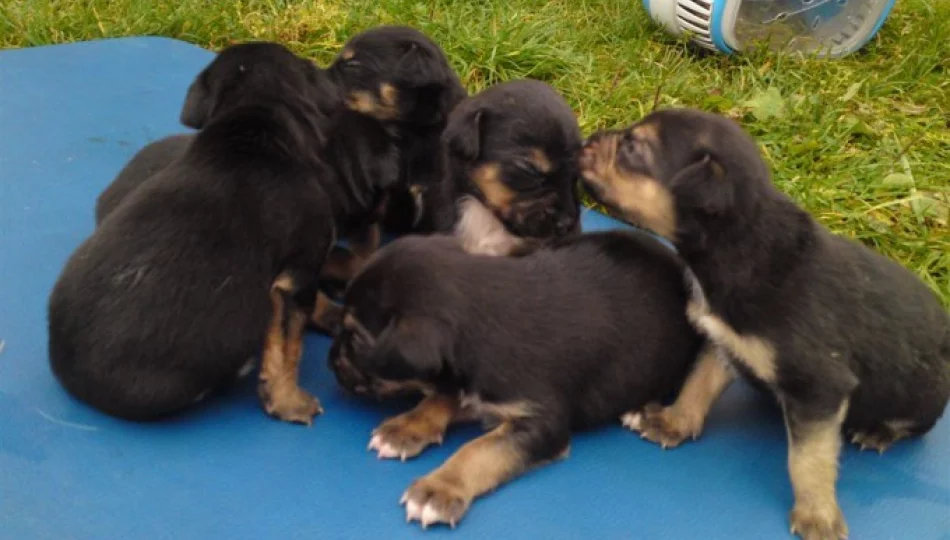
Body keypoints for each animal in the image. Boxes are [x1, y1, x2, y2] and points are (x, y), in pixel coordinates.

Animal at [330, 233, 708, 528]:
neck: (483, 311)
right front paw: (405, 428)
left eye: (356, 338)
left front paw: (439, 489)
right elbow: (441, 397)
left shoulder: (541, 422)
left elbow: (479, 450)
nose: (329, 360)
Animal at [576, 106, 950, 540]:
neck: (741, 244)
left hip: (924, 393)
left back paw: (879, 431)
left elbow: (807, 460)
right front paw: (672, 422)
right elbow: (698, 384)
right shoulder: (722, 340)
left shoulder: (820, 388)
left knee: (913, 423)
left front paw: (817, 516)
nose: (587, 140)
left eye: (634, 148)